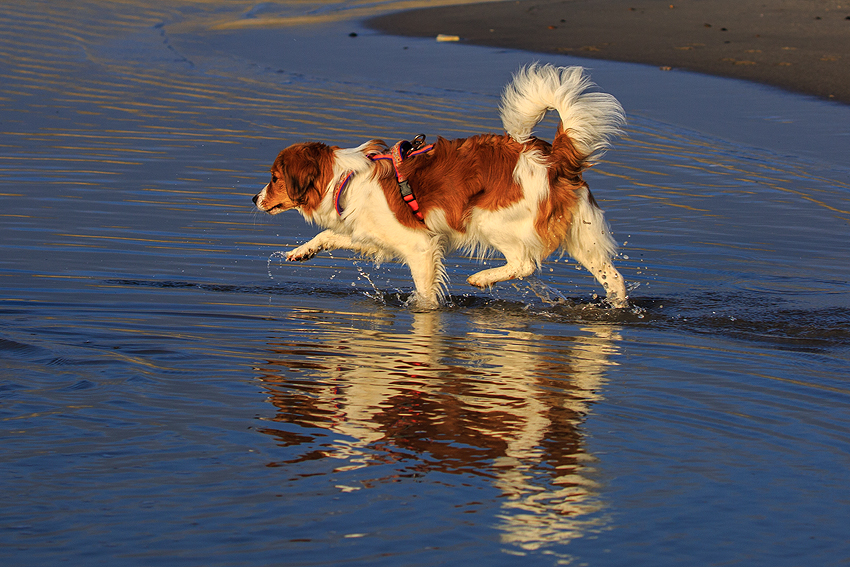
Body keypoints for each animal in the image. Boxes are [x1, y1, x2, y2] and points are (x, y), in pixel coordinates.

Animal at [248, 63, 628, 308]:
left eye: (274, 178)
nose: (253, 198)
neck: (343, 181)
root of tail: (553, 156)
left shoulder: (420, 246)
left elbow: (426, 295)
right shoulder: (372, 237)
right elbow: (330, 235)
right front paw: (302, 251)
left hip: (488, 218)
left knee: (525, 265)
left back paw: (482, 279)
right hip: (582, 236)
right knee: (614, 278)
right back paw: (618, 311)